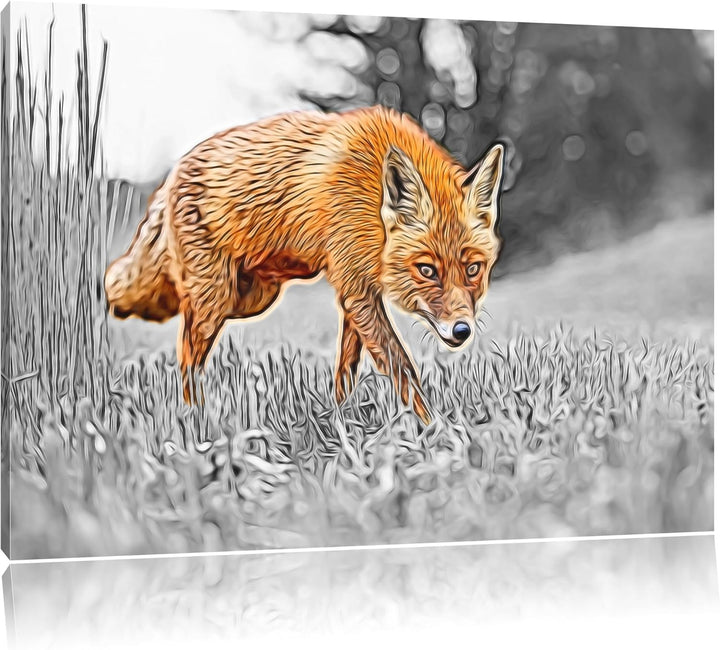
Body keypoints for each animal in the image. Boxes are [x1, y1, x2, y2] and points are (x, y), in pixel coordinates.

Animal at [104, 105, 505, 424]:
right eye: (427, 270)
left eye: (473, 269)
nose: (461, 331)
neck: (371, 200)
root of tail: (173, 172)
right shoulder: (356, 289)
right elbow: (401, 367)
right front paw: (434, 431)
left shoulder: (355, 291)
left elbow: (347, 369)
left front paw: (342, 418)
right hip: (216, 302)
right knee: (187, 358)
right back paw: (195, 419)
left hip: (250, 297)